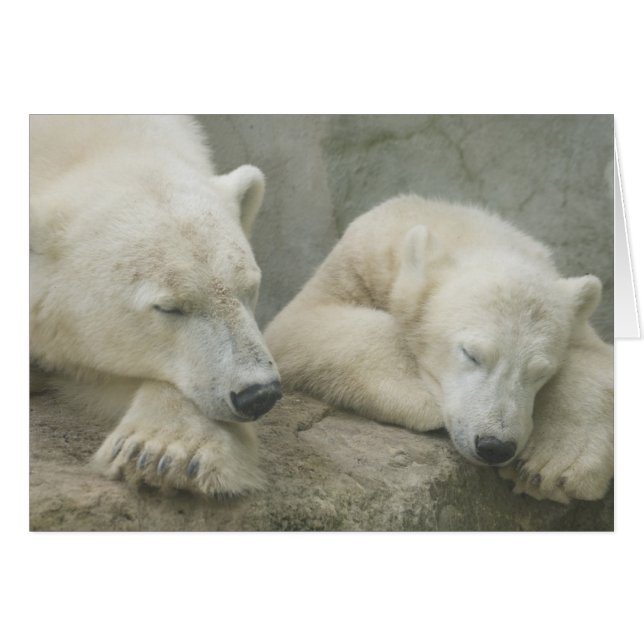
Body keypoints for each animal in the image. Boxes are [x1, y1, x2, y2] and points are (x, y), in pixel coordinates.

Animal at [264, 195, 613, 503]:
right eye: (471, 354)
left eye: (541, 373)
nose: (495, 446)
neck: (459, 228)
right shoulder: (355, 267)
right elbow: (304, 323)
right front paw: (420, 398)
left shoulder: (576, 327)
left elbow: (595, 361)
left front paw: (548, 467)